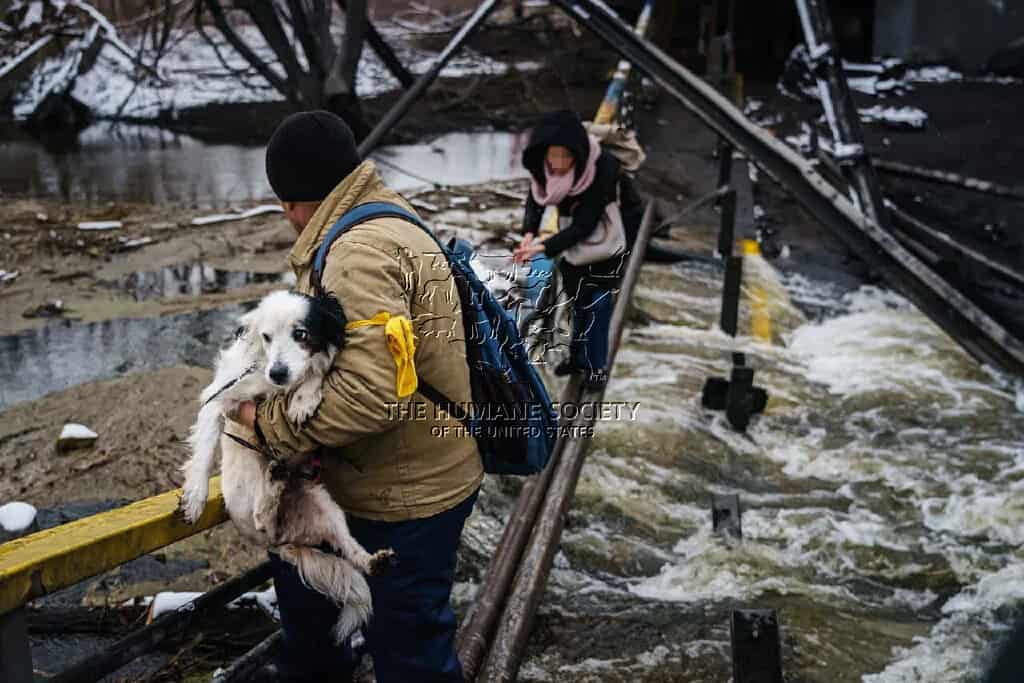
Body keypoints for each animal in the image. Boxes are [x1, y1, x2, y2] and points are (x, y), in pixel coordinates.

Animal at [176, 288, 391, 643]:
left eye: (300, 334)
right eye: (266, 337)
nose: (277, 372)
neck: (272, 387)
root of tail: (282, 541)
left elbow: (315, 373)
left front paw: (304, 398)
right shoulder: (220, 397)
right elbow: (205, 451)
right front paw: (194, 499)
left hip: (326, 505)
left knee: (349, 550)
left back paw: (374, 560)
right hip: (252, 504)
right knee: (261, 514)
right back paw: (273, 483)